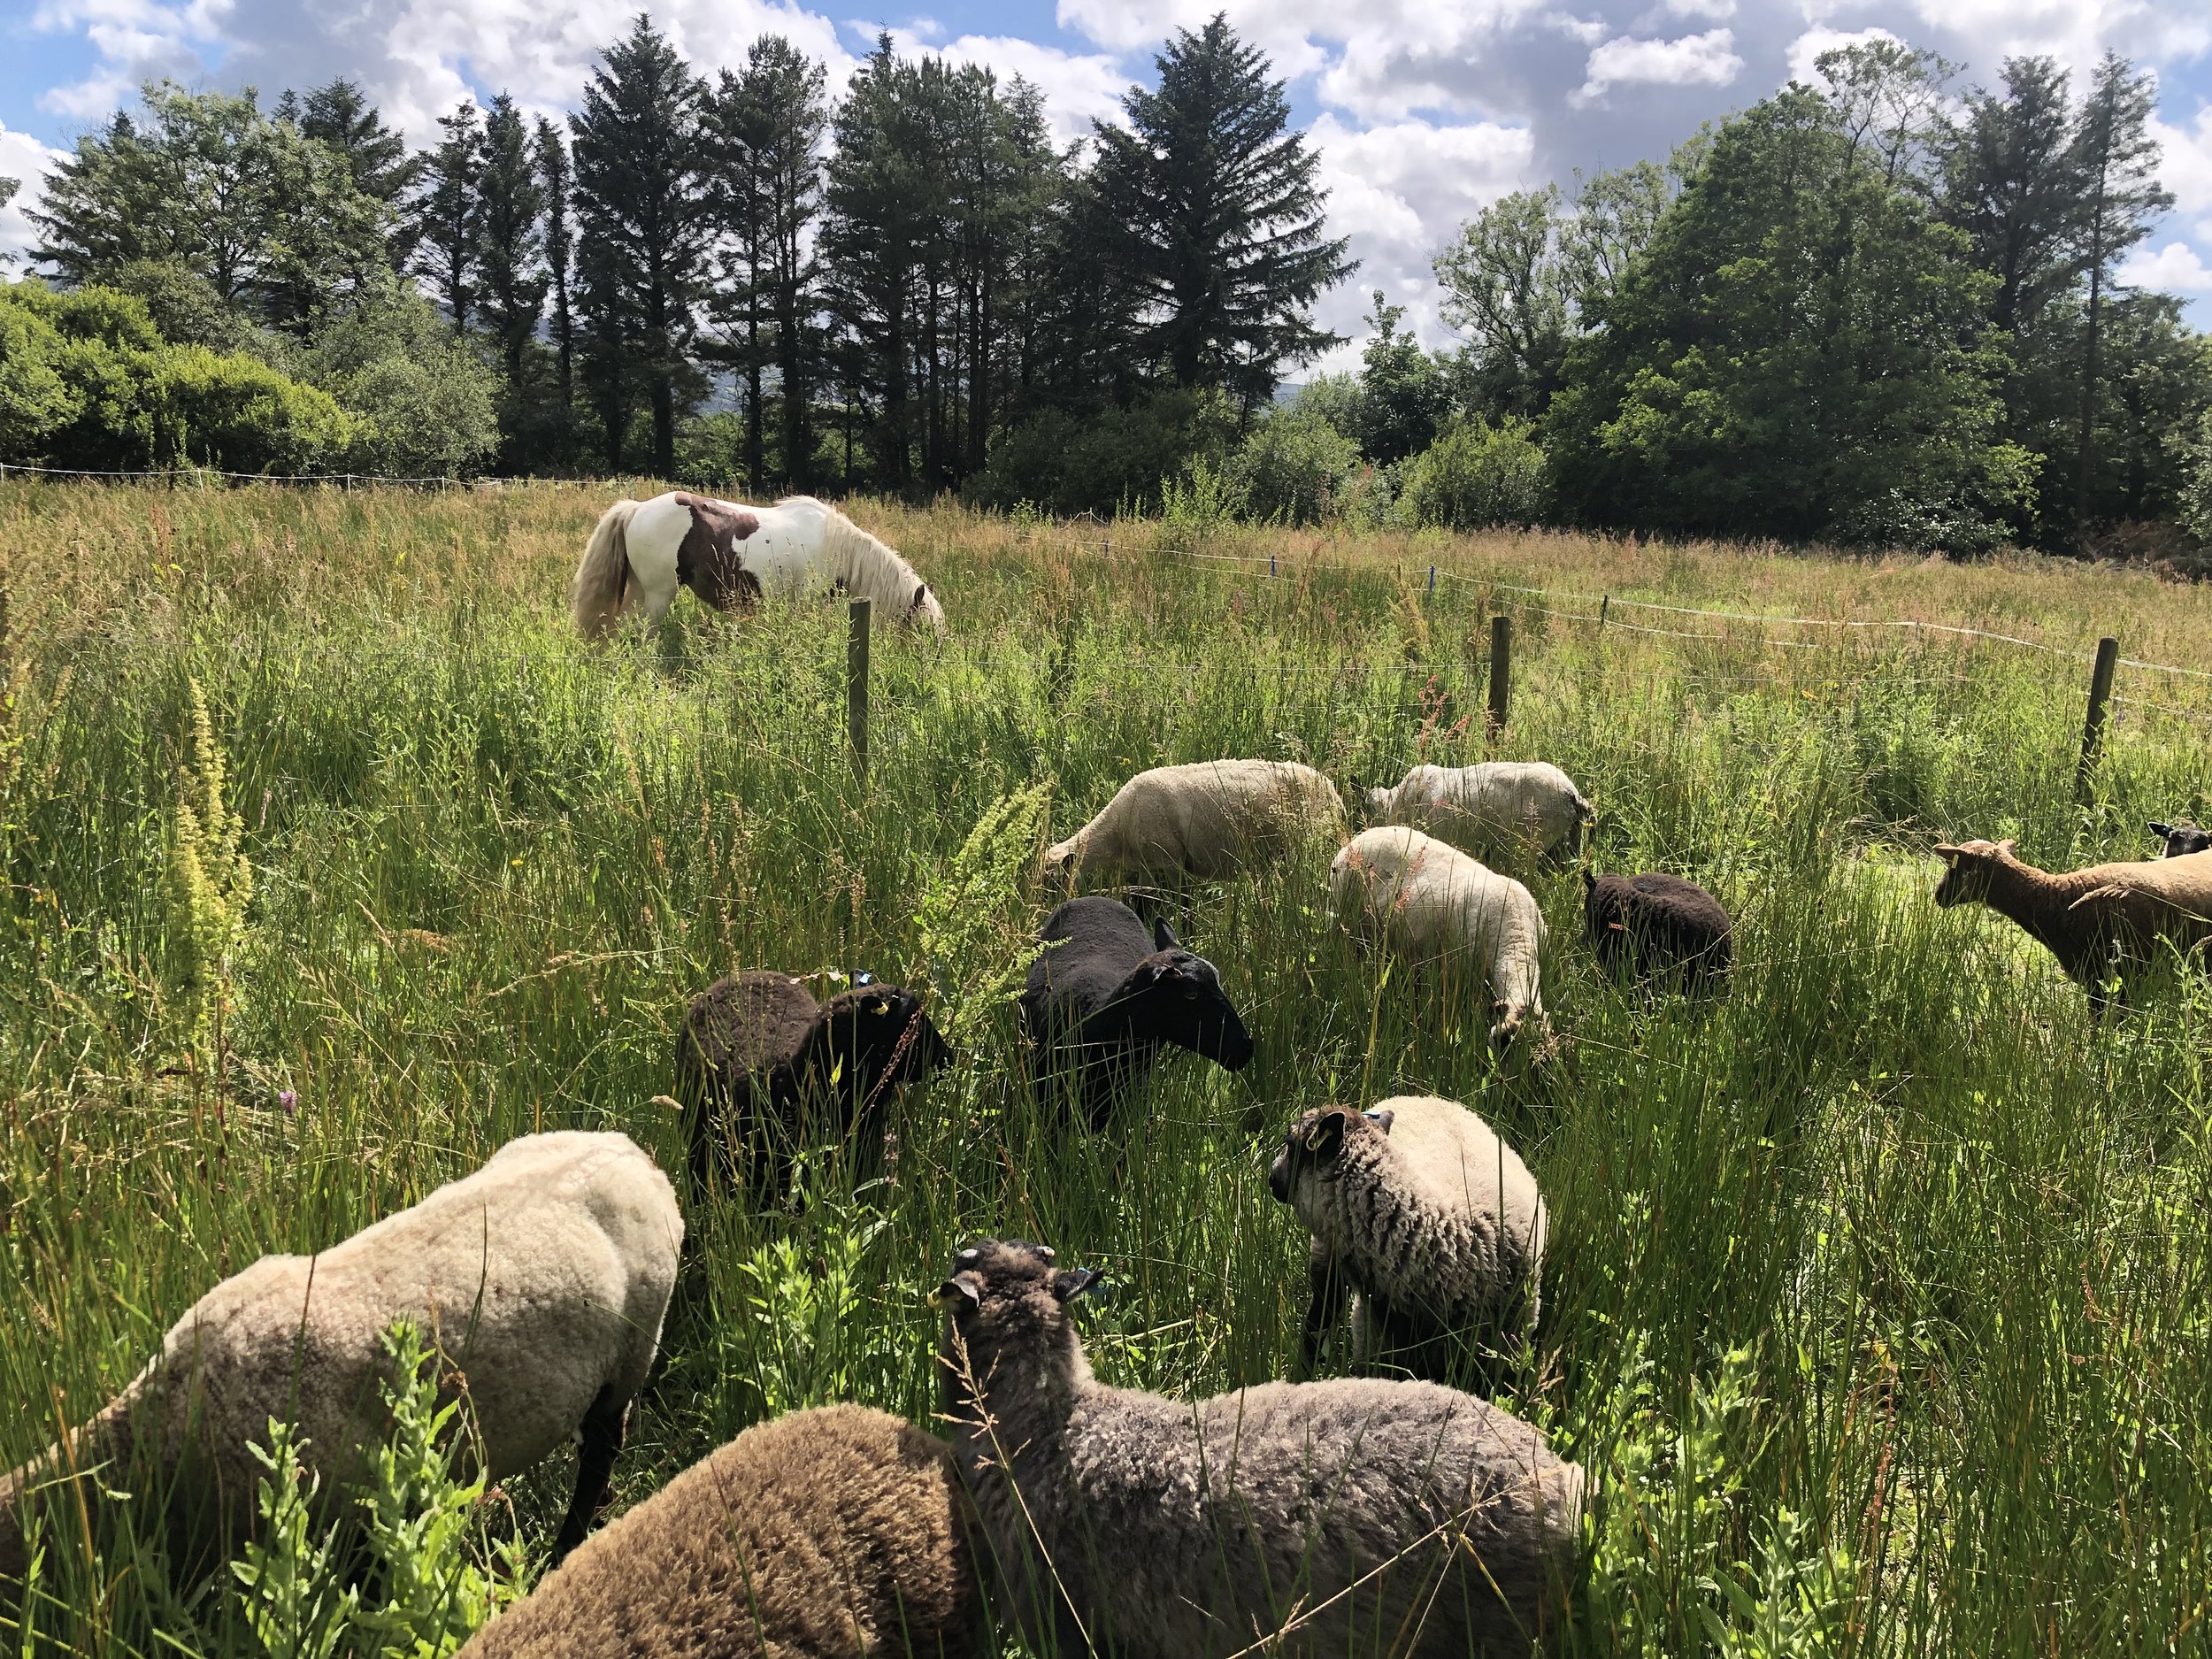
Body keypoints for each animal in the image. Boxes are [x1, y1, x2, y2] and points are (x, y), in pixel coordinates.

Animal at [1042, 759, 1346, 885]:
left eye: (1050, 884)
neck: (1116, 830)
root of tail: (1333, 790)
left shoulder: (1171, 861)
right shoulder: (1146, 866)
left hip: (1309, 843)